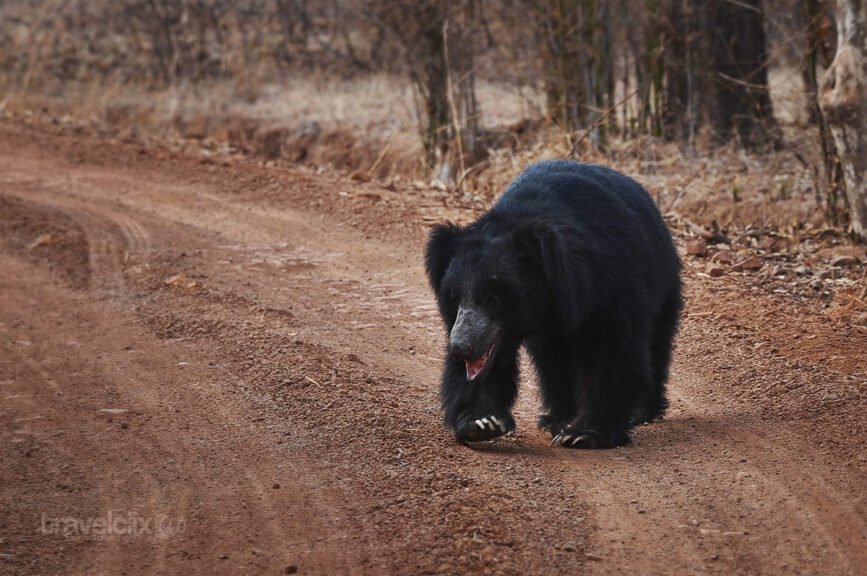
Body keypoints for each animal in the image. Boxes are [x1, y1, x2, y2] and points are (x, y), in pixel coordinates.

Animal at [424, 160, 680, 448]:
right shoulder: (496, 329)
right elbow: (490, 362)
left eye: (492, 299)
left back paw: (640, 411)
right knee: (553, 362)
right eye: (454, 298)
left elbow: (611, 352)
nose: (461, 348)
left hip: (663, 280)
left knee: (657, 340)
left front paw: (583, 433)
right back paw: (557, 417)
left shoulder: (611, 286)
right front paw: (481, 422)